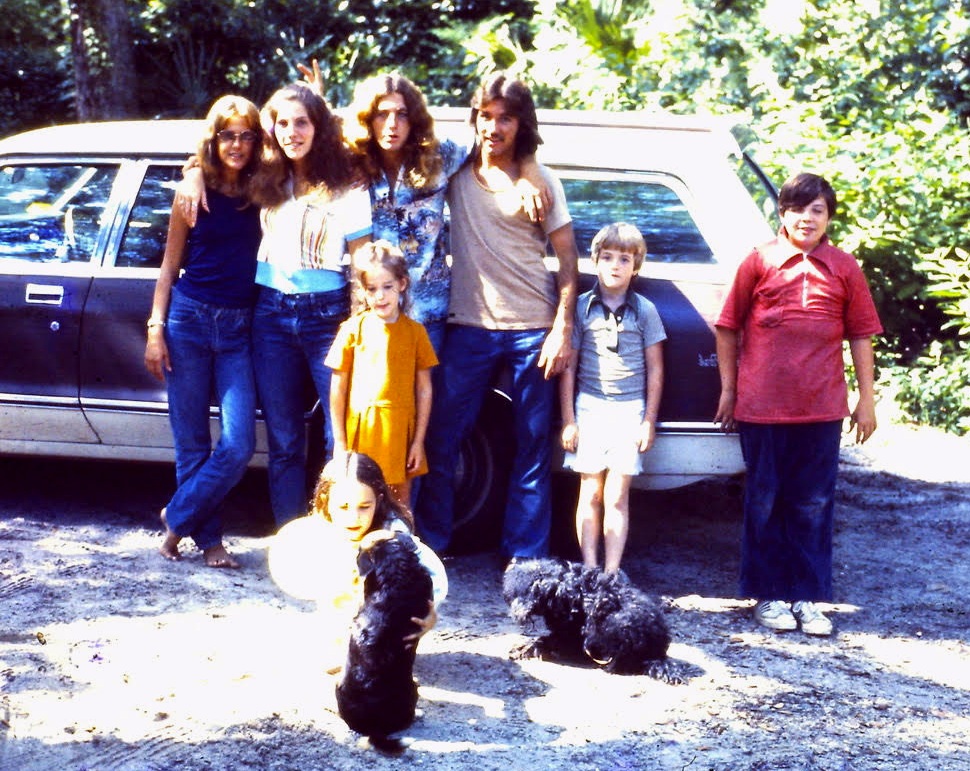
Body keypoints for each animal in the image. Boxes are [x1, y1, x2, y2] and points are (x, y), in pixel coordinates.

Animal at [500, 556, 680, 684]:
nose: (512, 562)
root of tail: (658, 653)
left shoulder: (570, 637)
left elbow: (546, 641)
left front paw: (523, 648)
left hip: (617, 625)